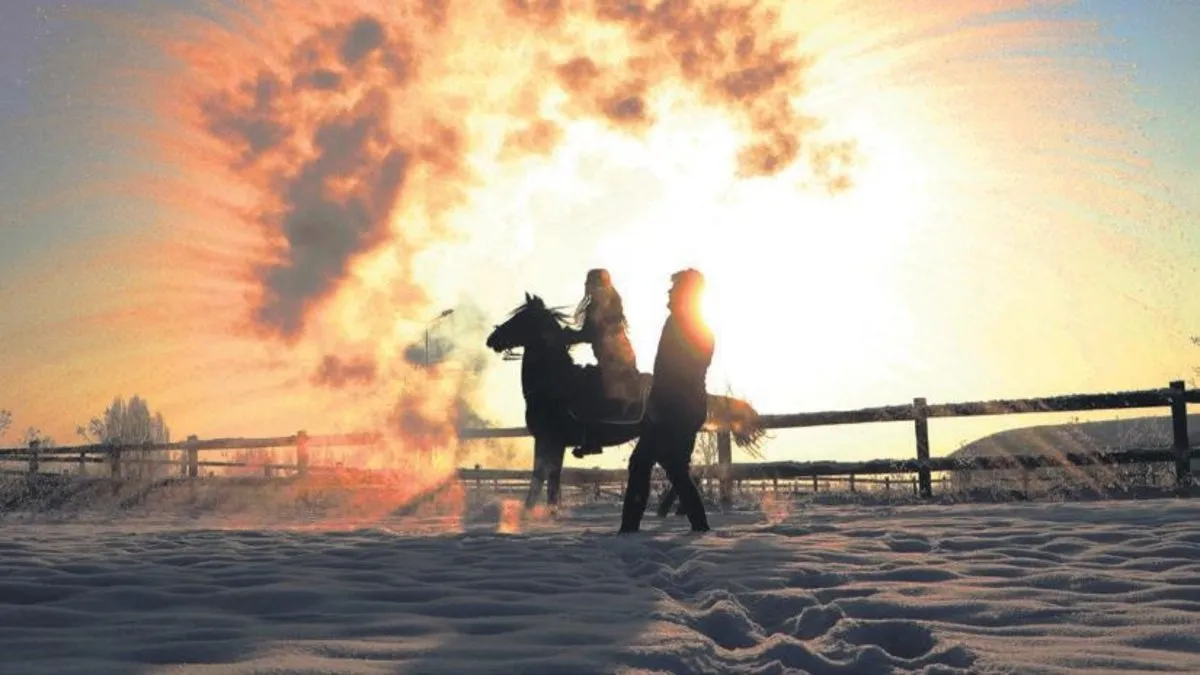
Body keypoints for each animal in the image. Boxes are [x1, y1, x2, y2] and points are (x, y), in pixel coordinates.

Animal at [485, 292, 765, 510]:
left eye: (520, 319)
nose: (492, 340)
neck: (554, 386)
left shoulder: (550, 440)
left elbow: (541, 481)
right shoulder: (552, 442)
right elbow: (548, 481)